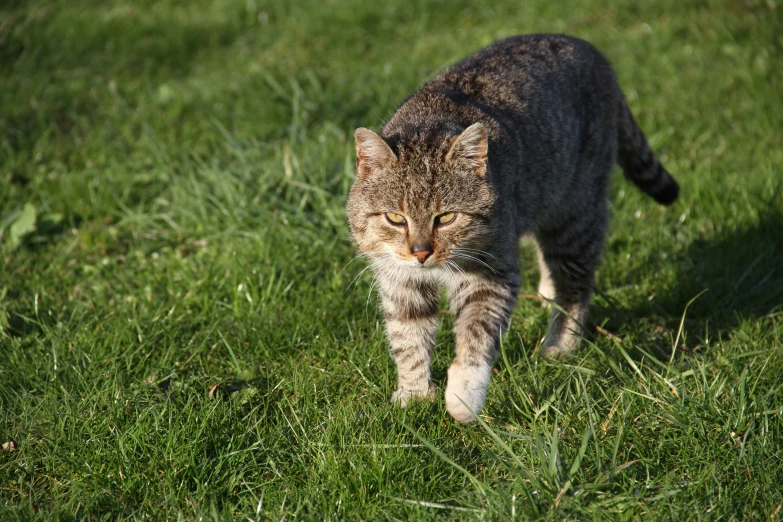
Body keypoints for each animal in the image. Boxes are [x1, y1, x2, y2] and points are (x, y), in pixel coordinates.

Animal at [346, 34, 676, 420]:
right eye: (396, 219)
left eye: (446, 217)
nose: (421, 252)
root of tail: (590, 49)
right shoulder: (400, 279)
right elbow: (408, 336)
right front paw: (414, 394)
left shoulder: (491, 274)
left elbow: (475, 336)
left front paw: (463, 396)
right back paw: (547, 291)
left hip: (575, 214)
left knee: (576, 287)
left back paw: (560, 344)